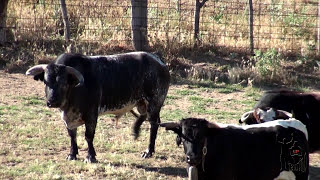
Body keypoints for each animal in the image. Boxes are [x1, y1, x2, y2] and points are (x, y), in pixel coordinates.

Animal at [25, 51, 170, 162]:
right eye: (45, 82)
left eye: (64, 83)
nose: (52, 101)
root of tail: (159, 62)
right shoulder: (68, 118)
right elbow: (72, 136)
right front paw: (72, 154)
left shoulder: (91, 116)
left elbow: (88, 136)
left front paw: (91, 156)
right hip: (142, 104)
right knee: (147, 118)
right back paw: (136, 131)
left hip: (154, 103)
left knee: (153, 124)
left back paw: (148, 151)